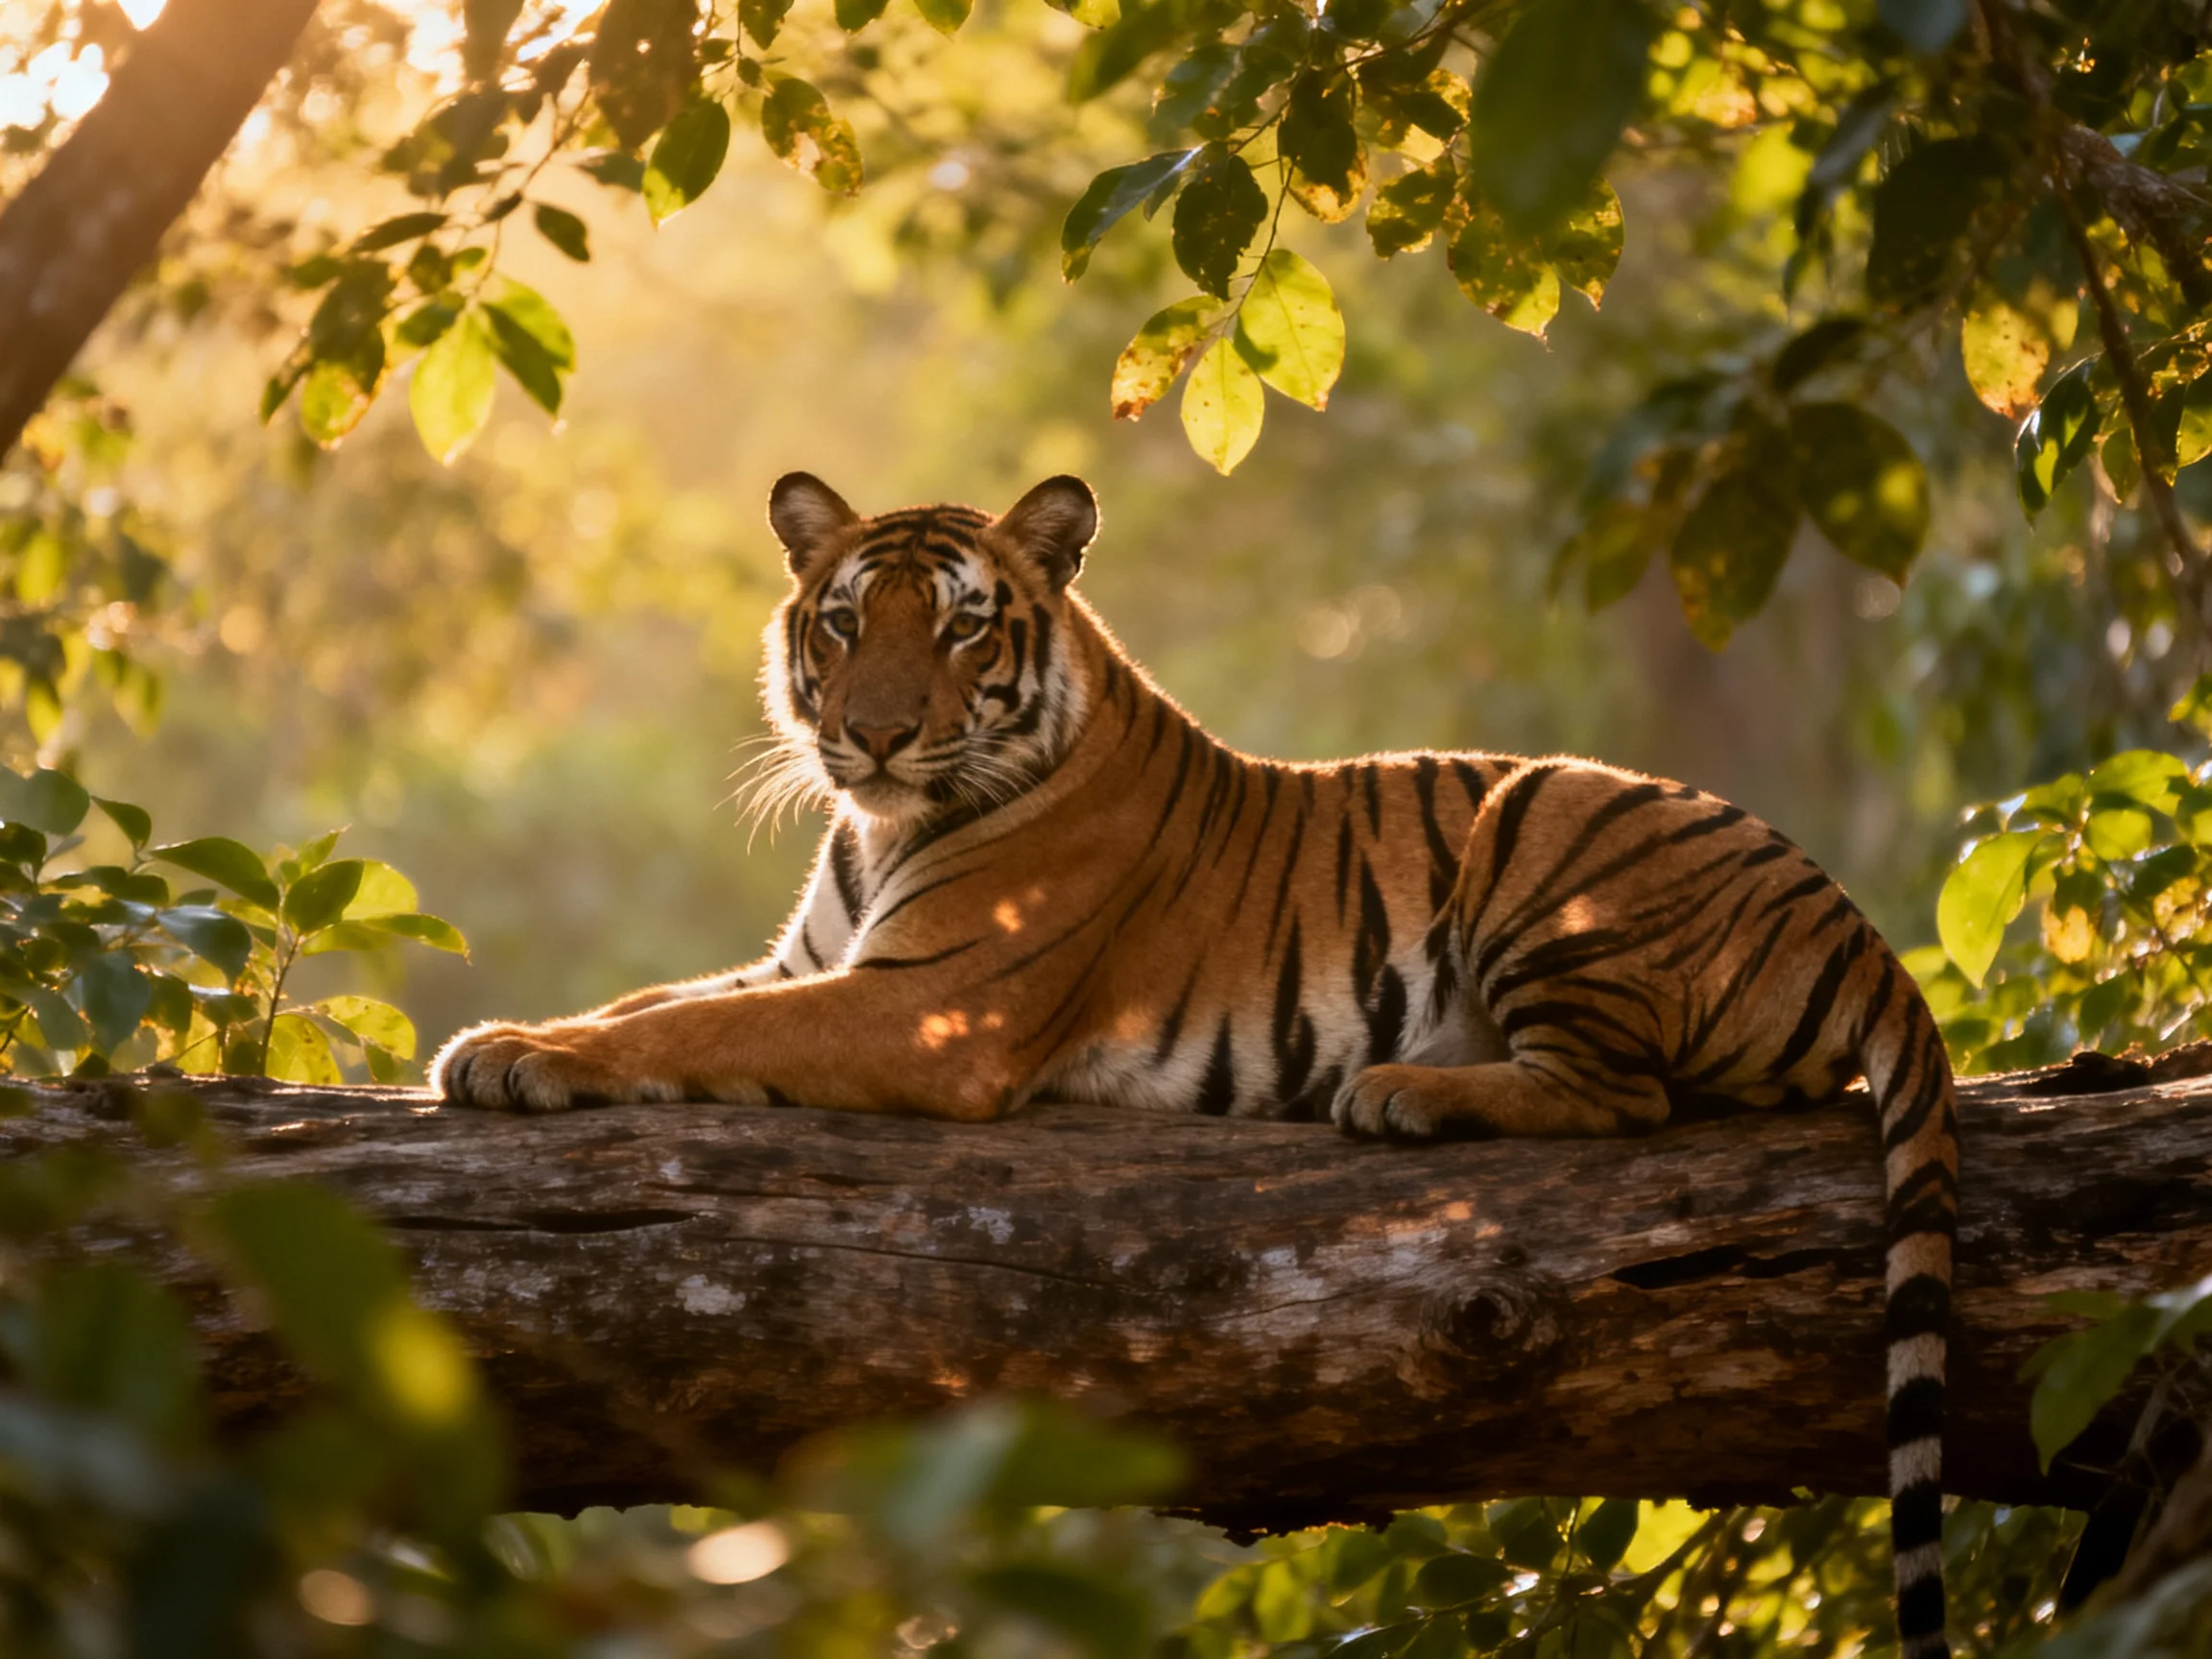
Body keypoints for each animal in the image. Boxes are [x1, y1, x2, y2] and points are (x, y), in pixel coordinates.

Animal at [431, 472, 1959, 1657]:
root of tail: (1859, 928)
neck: (881, 826)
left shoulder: (926, 1008)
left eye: (963, 626)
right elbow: (655, 998)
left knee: (1621, 1094)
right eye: (846, 621)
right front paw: (506, 1033)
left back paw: (1403, 1090)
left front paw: (518, 1060)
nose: (872, 734)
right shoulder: (810, 969)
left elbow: (682, 1030)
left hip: (1548, 808)